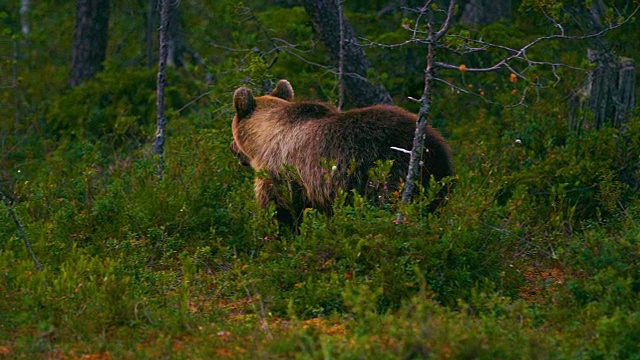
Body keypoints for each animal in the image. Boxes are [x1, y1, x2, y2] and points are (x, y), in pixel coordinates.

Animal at [231, 80, 456, 226]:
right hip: (436, 179)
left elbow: (278, 208)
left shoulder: (279, 172)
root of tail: (433, 147)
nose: (232, 149)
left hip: (386, 171)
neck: (265, 138)